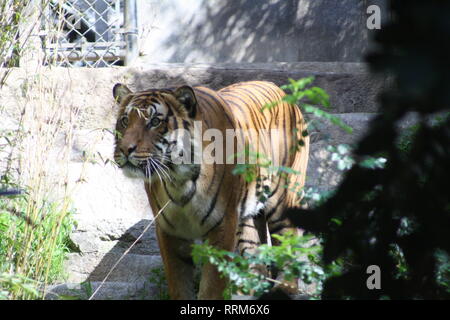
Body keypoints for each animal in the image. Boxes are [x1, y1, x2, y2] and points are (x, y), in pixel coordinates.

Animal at [112, 80, 310, 300]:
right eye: (124, 121)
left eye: (155, 121)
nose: (125, 149)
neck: (178, 179)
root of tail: (276, 87)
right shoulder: (169, 230)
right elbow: (179, 283)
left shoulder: (222, 224)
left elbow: (212, 286)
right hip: (247, 215)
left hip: (282, 199)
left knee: (288, 243)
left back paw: (283, 289)